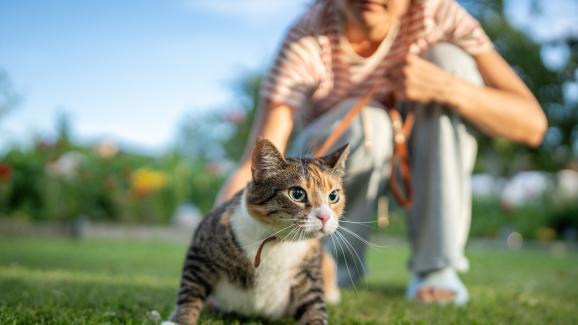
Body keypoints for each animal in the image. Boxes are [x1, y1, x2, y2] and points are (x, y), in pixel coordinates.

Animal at [164, 137, 348, 324]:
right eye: (297, 193)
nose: (325, 217)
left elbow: (313, 305)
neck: (278, 241)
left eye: (333, 196)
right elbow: (190, 293)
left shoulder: (309, 273)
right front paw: (180, 320)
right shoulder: (201, 250)